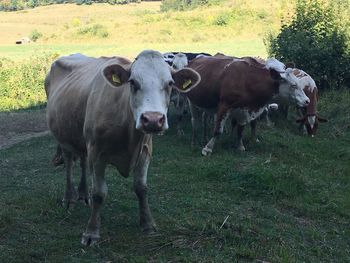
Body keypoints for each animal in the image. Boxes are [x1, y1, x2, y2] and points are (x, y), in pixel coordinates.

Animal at [45, 50, 201, 246]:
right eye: (133, 82)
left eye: (170, 83)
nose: (152, 120)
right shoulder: (97, 152)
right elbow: (99, 193)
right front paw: (91, 232)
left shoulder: (145, 151)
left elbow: (141, 188)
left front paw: (148, 224)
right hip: (64, 138)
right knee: (69, 165)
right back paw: (69, 198)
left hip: (82, 140)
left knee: (82, 162)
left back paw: (83, 194)